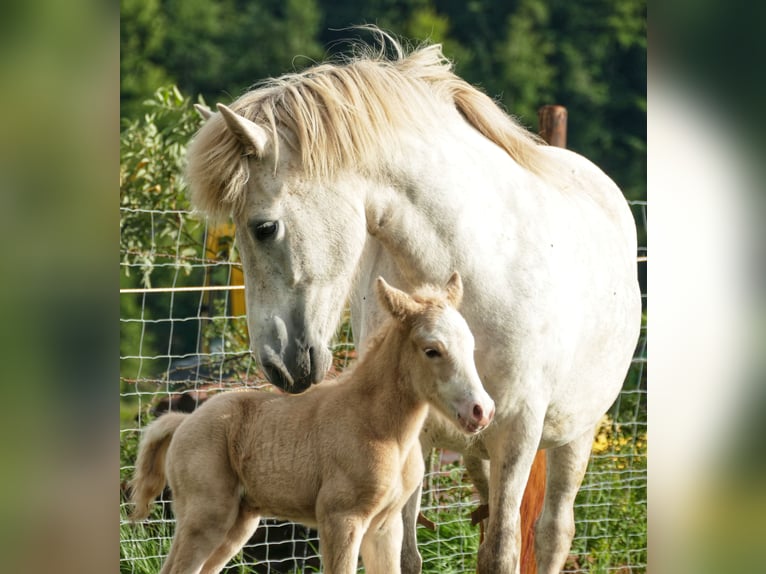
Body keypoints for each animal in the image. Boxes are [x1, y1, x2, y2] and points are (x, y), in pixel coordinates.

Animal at [129, 273, 495, 574]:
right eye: (432, 350)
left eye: (472, 345)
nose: (482, 411)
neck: (382, 430)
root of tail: (183, 421)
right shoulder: (341, 519)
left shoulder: (384, 527)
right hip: (205, 516)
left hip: (239, 522)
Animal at [185, 28, 641, 574]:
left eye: (264, 227)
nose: (277, 365)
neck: (475, 261)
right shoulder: (410, 438)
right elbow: (404, 554)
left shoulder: (518, 433)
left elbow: (502, 551)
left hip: (574, 435)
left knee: (553, 533)